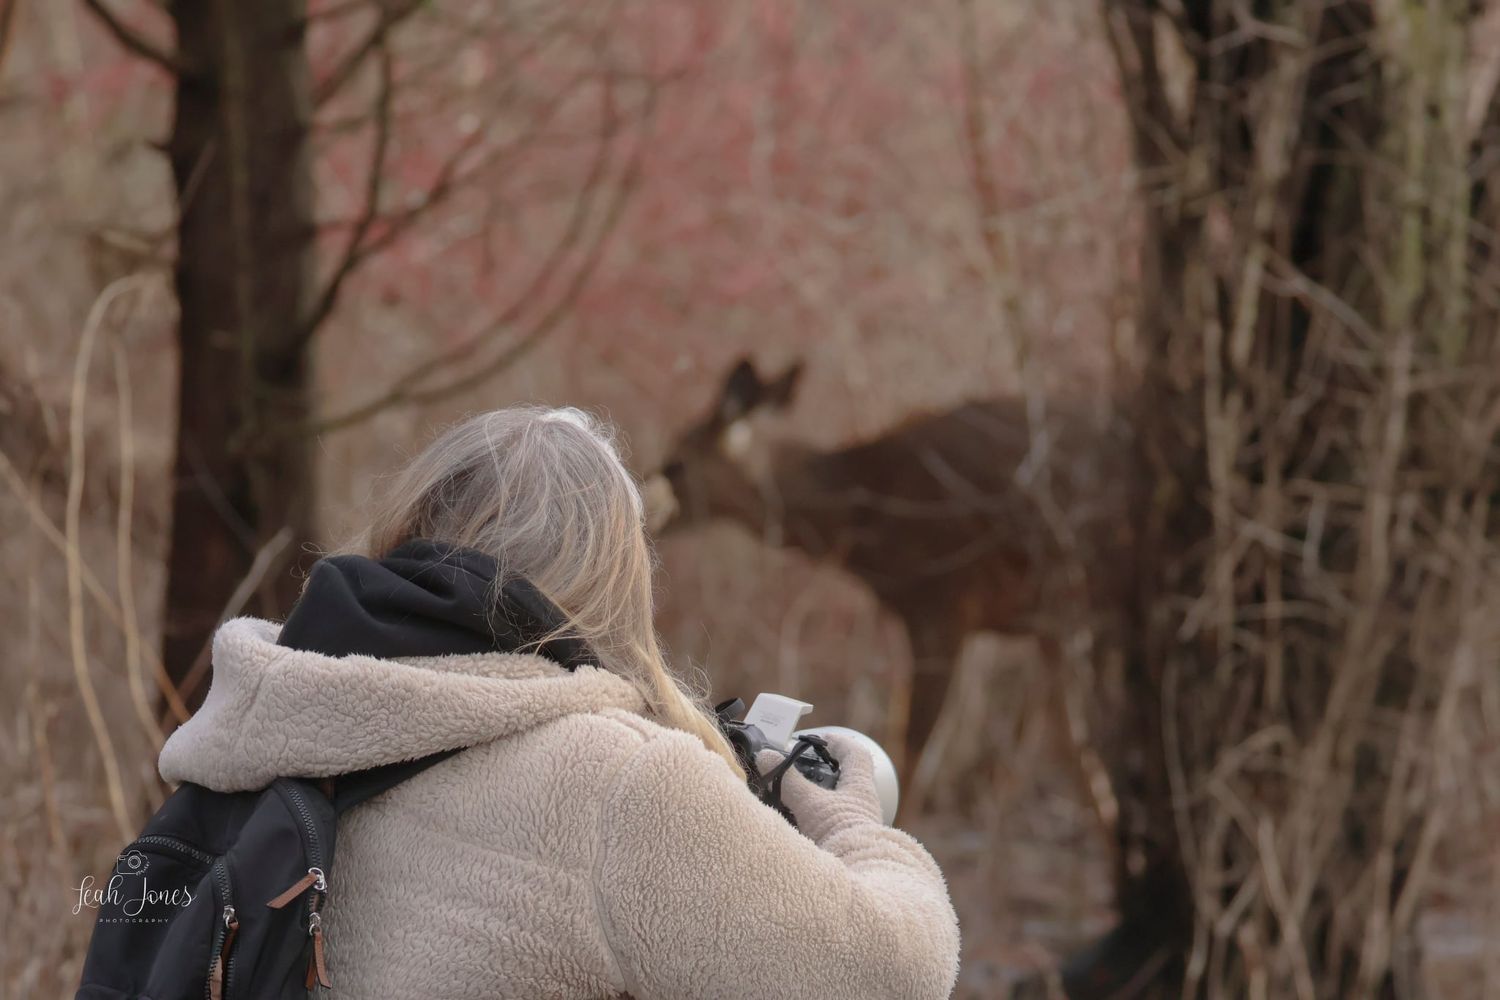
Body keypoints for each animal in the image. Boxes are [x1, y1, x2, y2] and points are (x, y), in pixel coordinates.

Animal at [645, 357, 1133, 832]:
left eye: (676, 463)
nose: (653, 508)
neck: (867, 518)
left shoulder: (942, 608)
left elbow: (917, 743)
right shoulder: (1038, 622)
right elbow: (1051, 735)